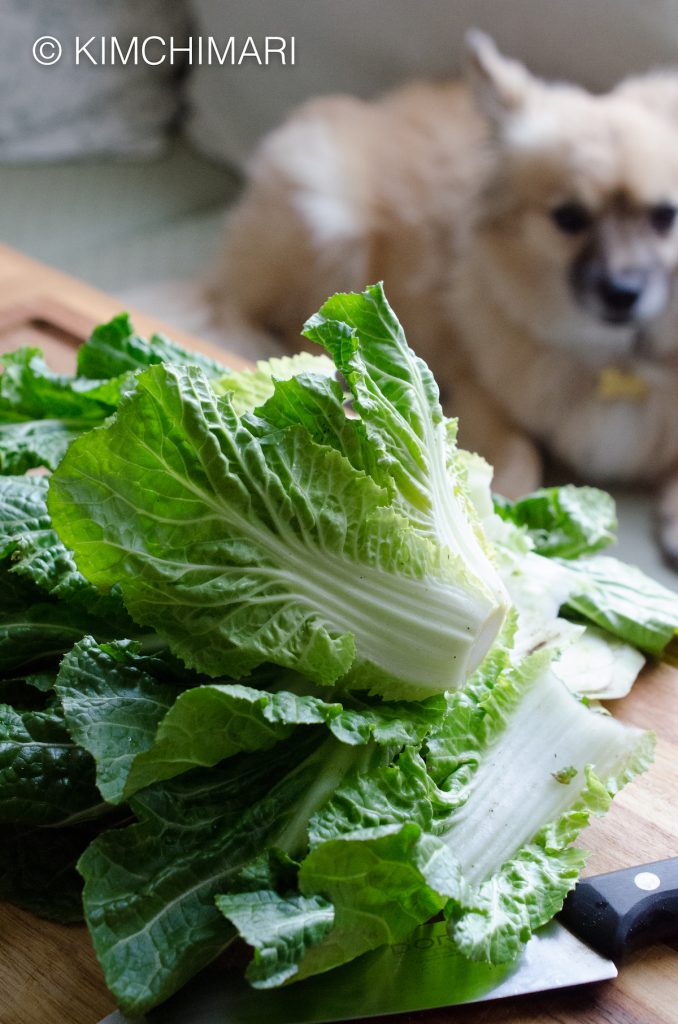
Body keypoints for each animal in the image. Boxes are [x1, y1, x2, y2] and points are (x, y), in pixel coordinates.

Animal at [213, 32, 678, 565]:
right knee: (243, 309)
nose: (623, 293)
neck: (613, 361)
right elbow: (522, 450)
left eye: (665, 217)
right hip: (327, 223)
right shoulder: (474, 388)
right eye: (569, 218)